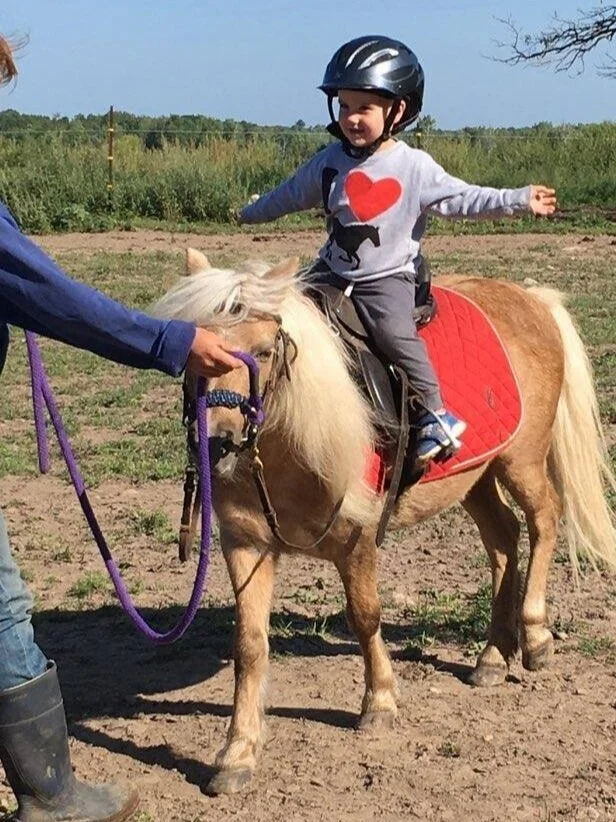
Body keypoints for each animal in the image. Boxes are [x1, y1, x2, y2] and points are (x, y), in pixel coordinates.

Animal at [152, 249, 616, 795]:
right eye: (196, 352)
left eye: (264, 351)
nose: (219, 442)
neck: (291, 441)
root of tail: (532, 299)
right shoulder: (244, 545)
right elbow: (249, 645)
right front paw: (236, 754)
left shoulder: (356, 539)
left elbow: (365, 616)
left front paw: (380, 703)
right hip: (473, 476)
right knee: (504, 538)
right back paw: (492, 655)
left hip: (520, 460)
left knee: (544, 520)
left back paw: (536, 637)